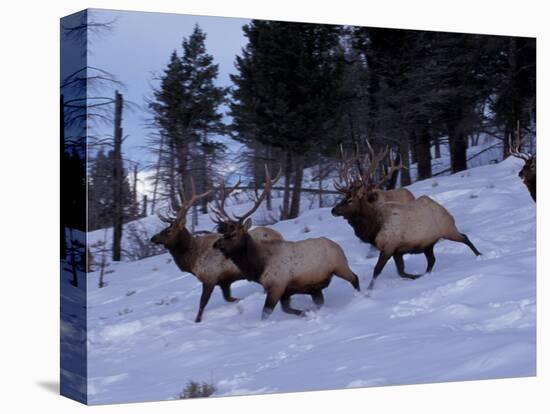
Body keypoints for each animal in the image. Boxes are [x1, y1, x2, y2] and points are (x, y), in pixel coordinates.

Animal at [151, 180, 284, 322]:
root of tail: (279, 235)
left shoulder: (210, 278)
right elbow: (228, 298)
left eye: (169, 231)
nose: (152, 238)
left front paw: (197, 321)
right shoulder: (224, 281)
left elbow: (202, 303)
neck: (192, 260)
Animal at [212, 167, 362, 320]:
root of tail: (337, 246)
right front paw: (304, 313)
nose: (216, 245)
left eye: (233, 234)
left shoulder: (277, 285)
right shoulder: (285, 291)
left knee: (355, 278)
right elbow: (286, 309)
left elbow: (266, 312)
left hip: (340, 266)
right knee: (320, 300)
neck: (259, 267)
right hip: (316, 286)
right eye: (223, 233)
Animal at [332, 146, 484, 292]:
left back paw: (480, 255)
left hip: (448, 229)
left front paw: (368, 291)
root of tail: (445, 211)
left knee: (464, 237)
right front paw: (417, 276)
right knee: (432, 260)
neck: (374, 228)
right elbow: (401, 272)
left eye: (350, 200)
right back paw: (427, 273)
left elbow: (377, 270)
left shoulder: (389, 247)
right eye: (343, 198)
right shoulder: (397, 251)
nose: (333, 210)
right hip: (429, 243)